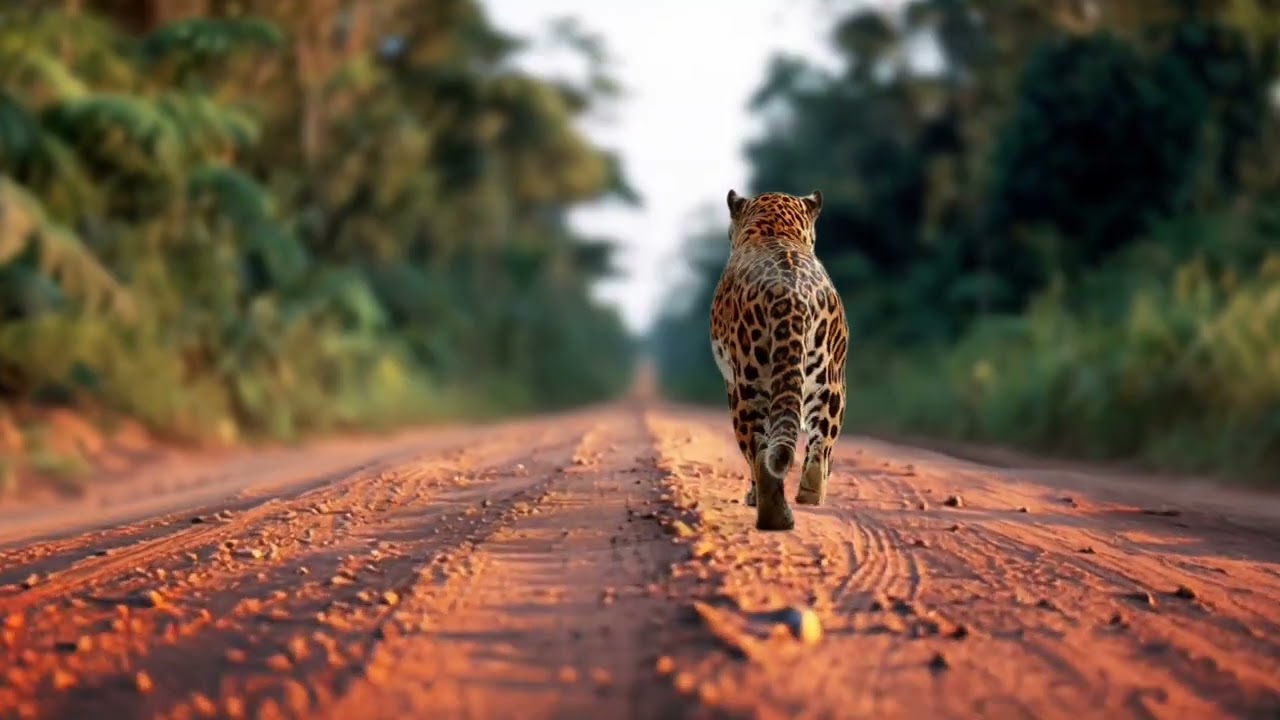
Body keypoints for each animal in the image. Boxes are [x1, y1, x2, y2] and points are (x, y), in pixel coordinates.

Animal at [709, 188, 849, 531]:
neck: (775, 230)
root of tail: (789, 292)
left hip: (746, 386)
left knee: (758, 450)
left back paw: (772, 513)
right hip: (829, 379)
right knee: (821, 441)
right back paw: (807, 497)